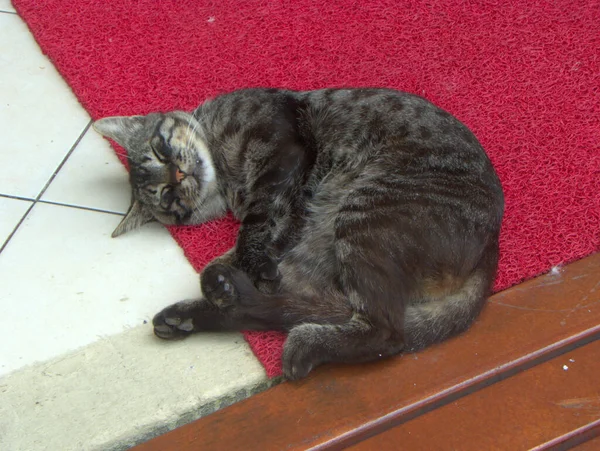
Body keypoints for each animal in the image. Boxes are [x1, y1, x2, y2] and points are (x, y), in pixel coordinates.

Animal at [95, 86, 506, 380]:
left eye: (159, 149)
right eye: (167, 196)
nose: (179, 175)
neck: (226, 176)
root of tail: (491, 248)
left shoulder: (283, 155)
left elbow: (259, 225)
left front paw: (250, 260)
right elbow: (253, 241)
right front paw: (238, 270)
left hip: (360, 218)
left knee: (386, 333)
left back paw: (296, 342)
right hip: (335, 234)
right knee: (286, 306)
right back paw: (195, 309)